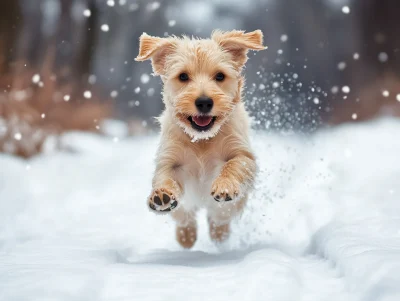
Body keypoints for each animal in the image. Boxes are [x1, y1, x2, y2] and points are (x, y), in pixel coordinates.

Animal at [136, 29, 268, 247]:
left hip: (232, 205)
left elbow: (234, 164)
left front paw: (225, 185)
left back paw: (218, 233)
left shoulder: (243, 154)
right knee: (185, 216)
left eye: (220, 76)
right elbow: (165, 177)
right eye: (183, 76)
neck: (202, 139)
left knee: (219, 217)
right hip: (185, 207)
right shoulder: (169, 160)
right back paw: (186, 236)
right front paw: (162, 195)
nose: (204, 102)